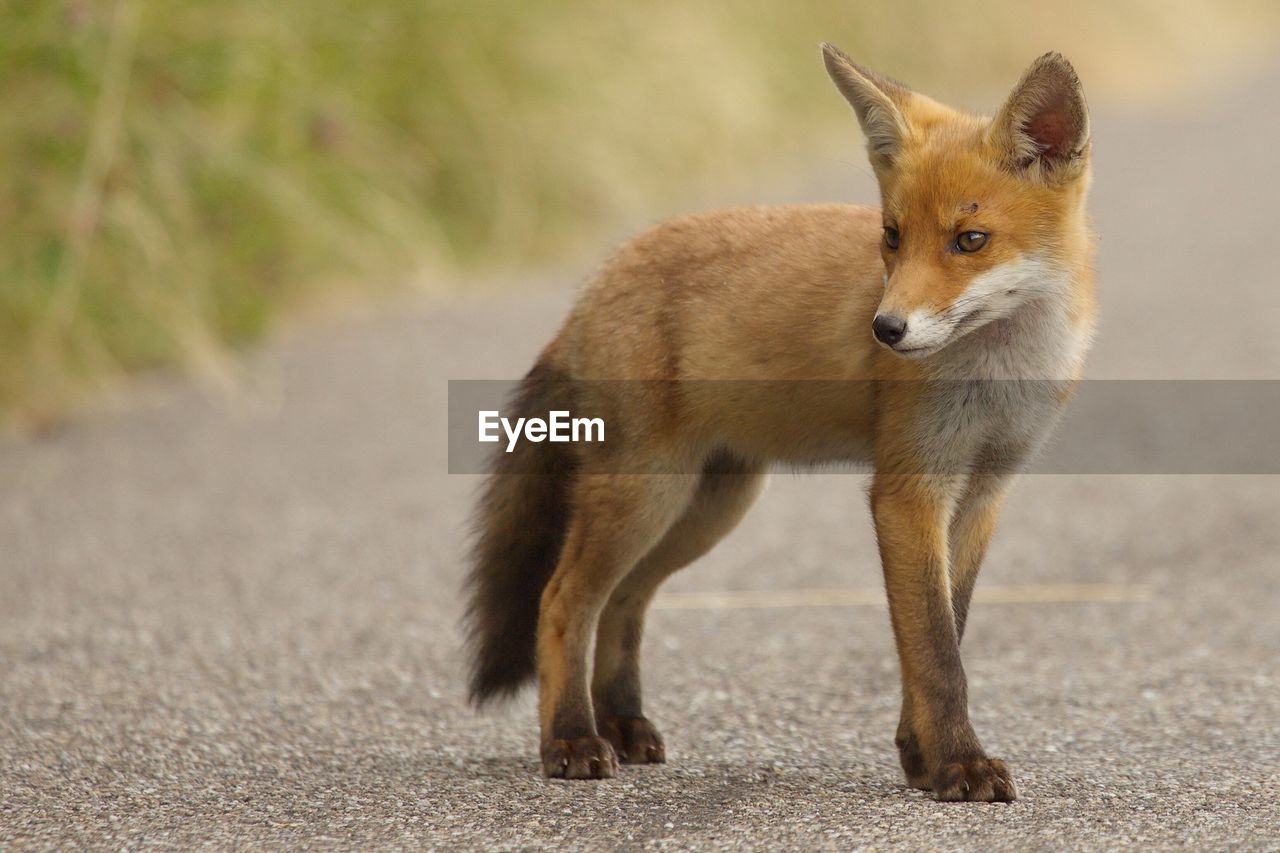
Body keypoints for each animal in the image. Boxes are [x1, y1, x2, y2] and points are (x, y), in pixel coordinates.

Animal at [465, 43, 1095, 799]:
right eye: (891, 237)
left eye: (970, 240)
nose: (885, 330)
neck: (1002, 370)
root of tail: (591, 290)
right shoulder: (908, 491)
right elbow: (935, 651)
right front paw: (957, 764)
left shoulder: (983, 491)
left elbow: (948, 630)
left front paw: (919, 755)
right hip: (646, 495)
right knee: (562, 601)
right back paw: (571, 739)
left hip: (707, 506)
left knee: (623, 602)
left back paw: (623, 724)